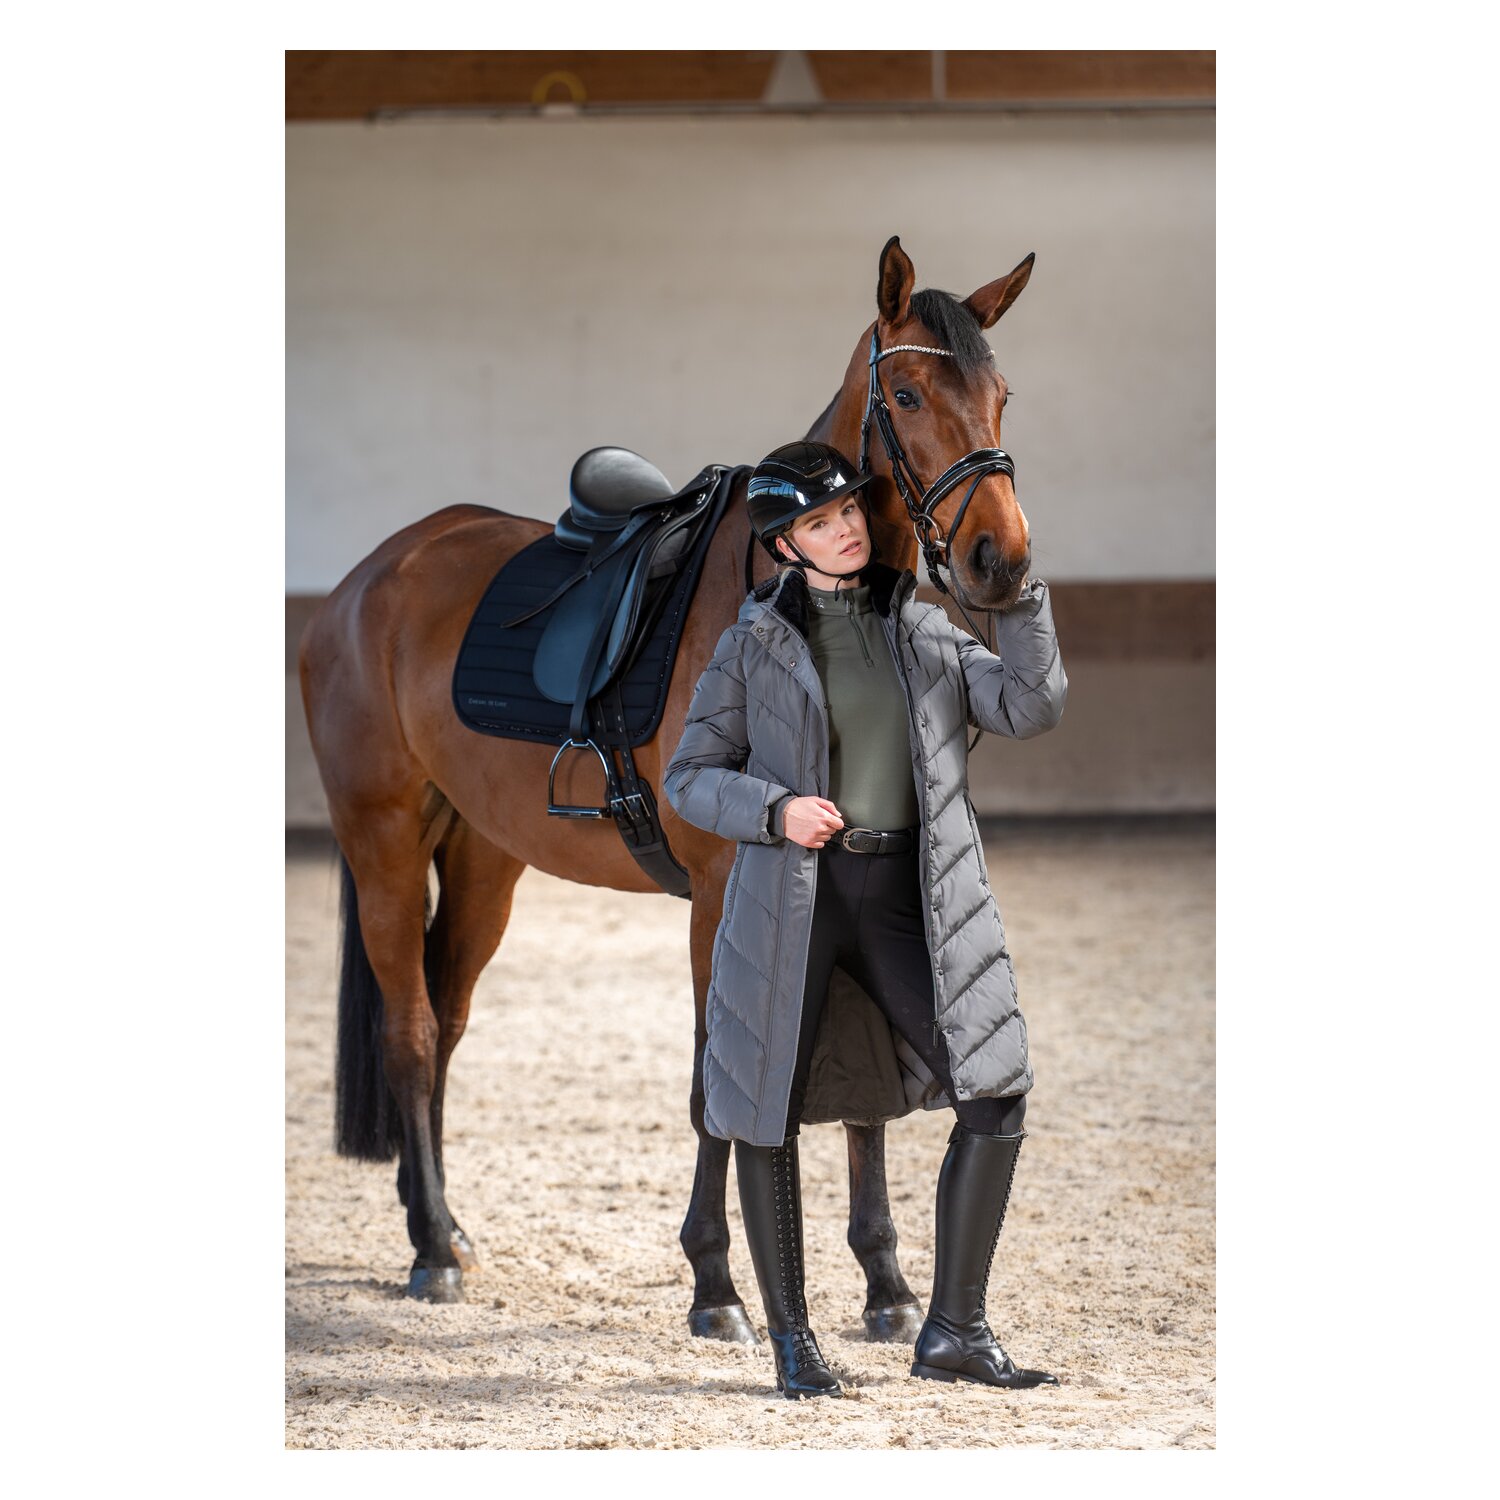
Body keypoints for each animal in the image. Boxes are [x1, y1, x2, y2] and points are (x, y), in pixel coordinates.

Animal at [298, 234, 1035, 1335]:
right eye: (905, 393)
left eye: (1000, 394)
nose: (1001, 559)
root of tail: (372, 577)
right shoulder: (727, 890)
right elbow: (711, 1078)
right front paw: (716, 1285)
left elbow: (863, 1090)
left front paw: (888, 1286)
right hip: (381, 838)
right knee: (413, 1033)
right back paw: (431, 1249)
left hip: (481, 861)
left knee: (446, 1019)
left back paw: (446, 1227)